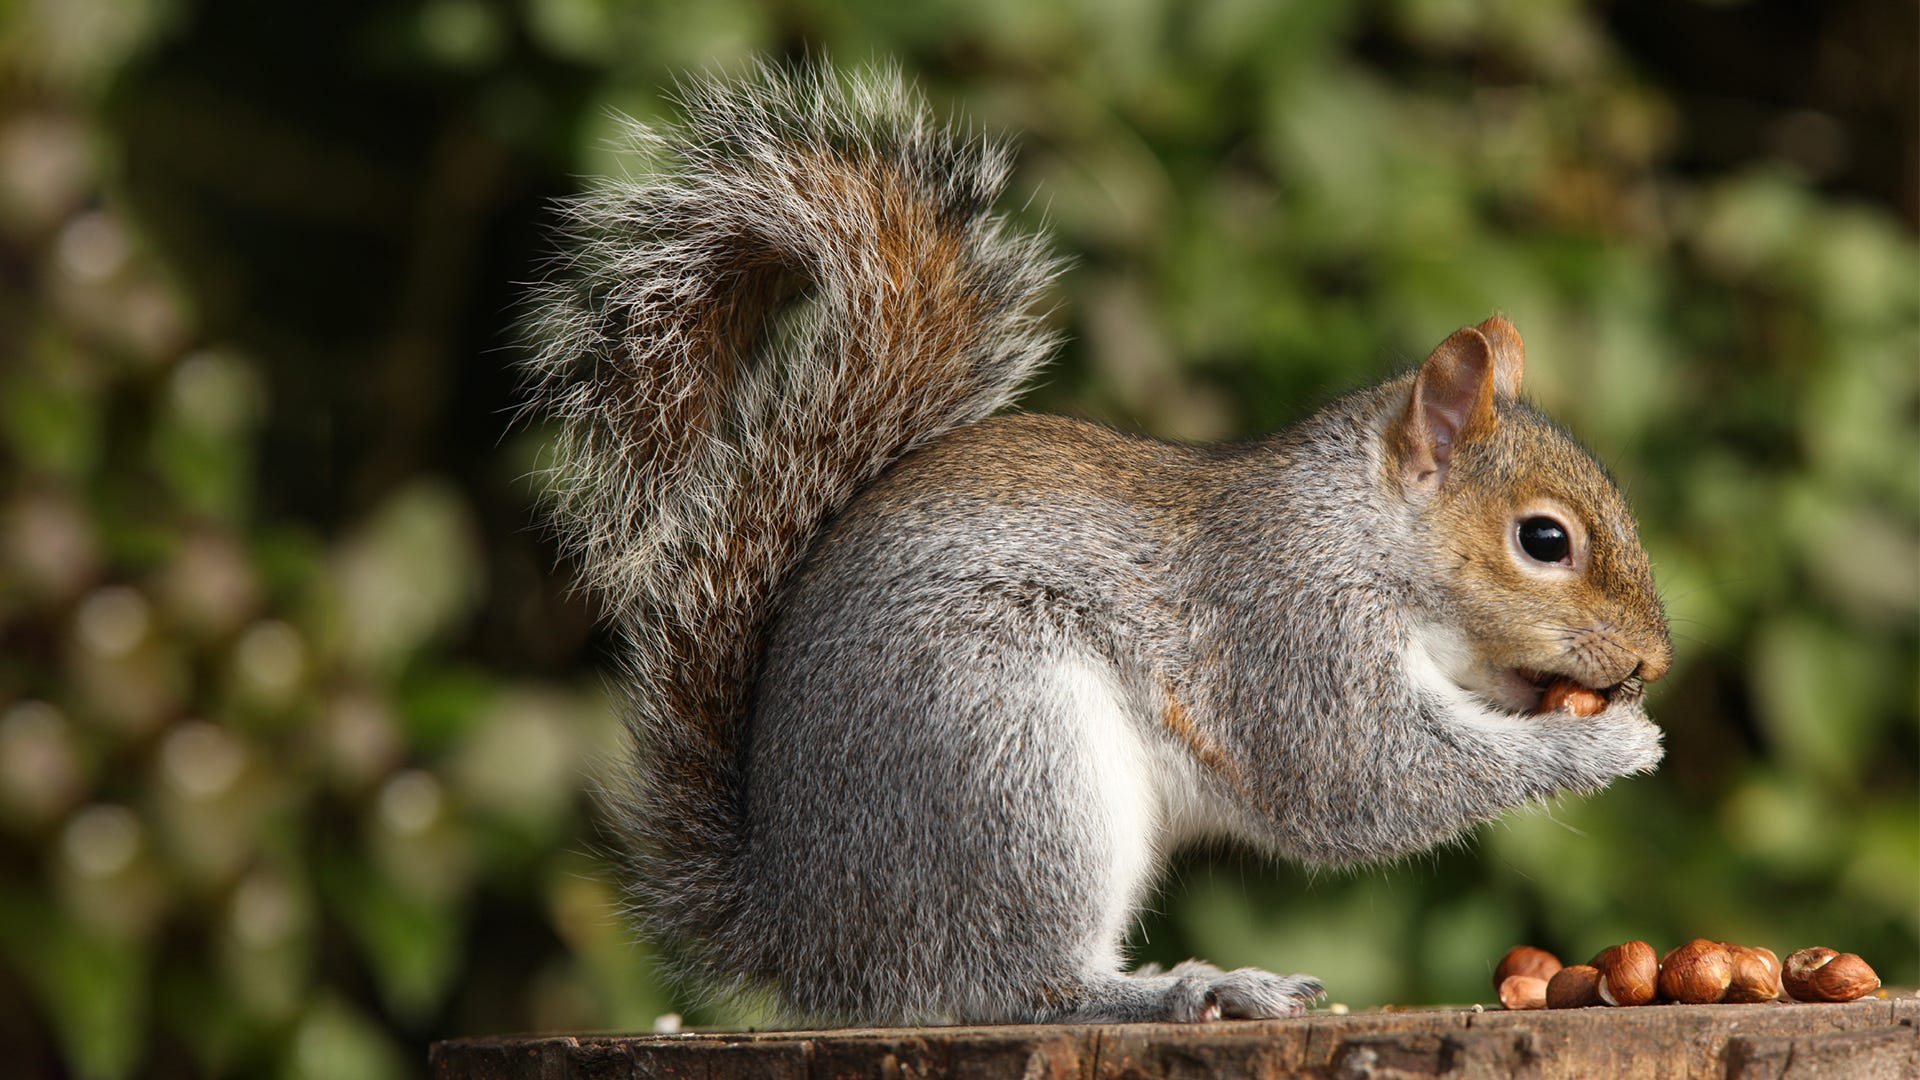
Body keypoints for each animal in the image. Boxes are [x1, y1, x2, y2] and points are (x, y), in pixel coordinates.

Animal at [522, 62, 1666, 1022]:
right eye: (1545, 540)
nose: (1654, 660)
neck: (1359, 532)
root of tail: (808, 935)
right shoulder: (1291, 632)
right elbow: (1363, 779)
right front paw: (1604, 745)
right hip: (1011, 756)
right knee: (1012, 987)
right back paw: (1183, 990)